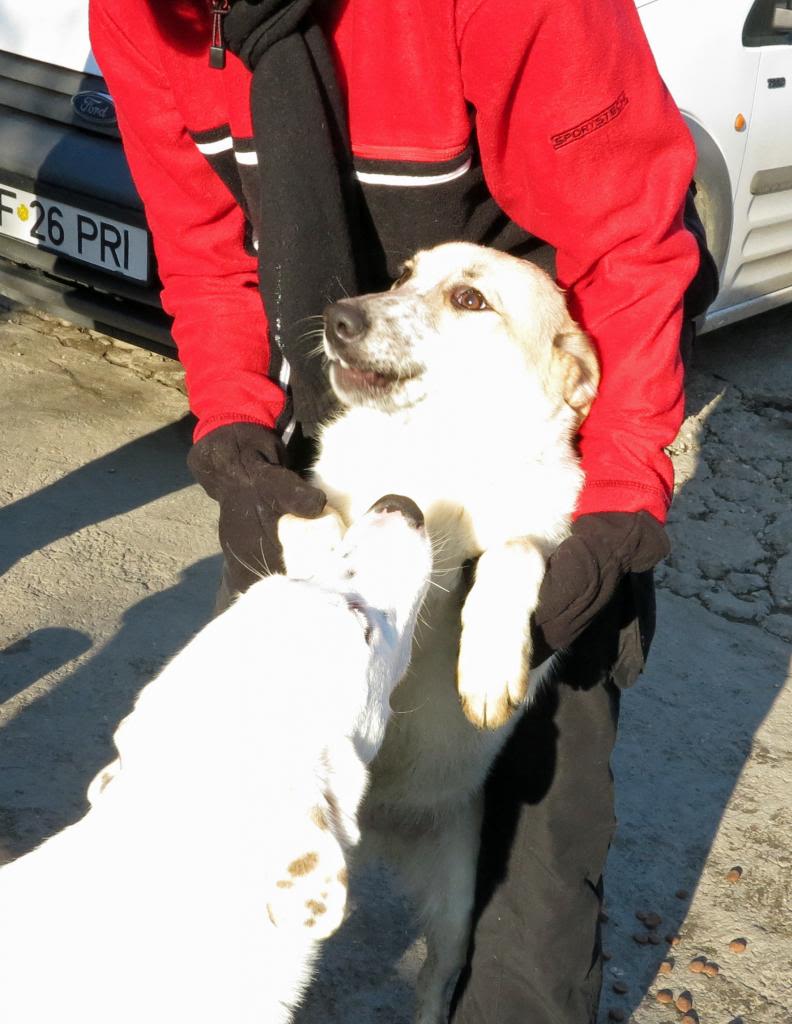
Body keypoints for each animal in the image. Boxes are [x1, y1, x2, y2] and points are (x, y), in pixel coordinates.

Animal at [311, 241, 598, 1024]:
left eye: (471, 299)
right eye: (403, 275)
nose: (338, 317)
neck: (431, 458)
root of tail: (376, 829)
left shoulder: (540, 558)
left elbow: (513, 552)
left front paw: (489, 664)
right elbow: (324, 530)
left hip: (456, 913)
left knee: (436, 985)